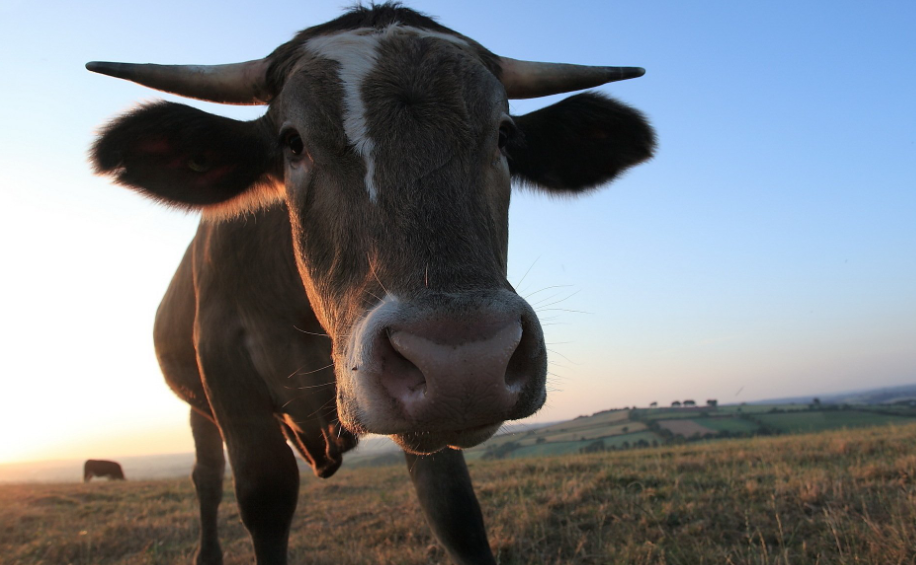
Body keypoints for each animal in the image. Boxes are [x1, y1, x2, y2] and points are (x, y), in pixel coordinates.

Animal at [87, 4, 652, 564]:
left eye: (504, 135)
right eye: (292, 142)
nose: (464, 361)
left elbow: (454, 510)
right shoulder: (226, 370)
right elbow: (265, 497)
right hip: (196, 405)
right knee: (205, 476)